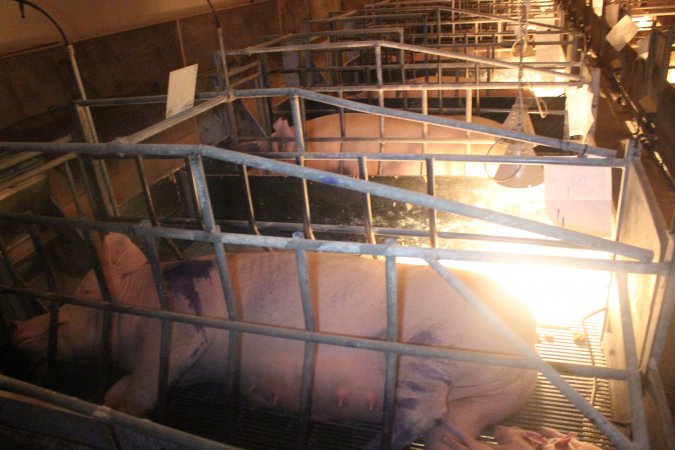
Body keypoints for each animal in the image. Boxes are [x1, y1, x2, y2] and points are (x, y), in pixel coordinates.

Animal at [11, 234, 540, 448]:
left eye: (82, 293)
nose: (15, 328)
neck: (143, 301)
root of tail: (528, 336)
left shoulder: (182, 328)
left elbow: (139, 386)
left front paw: (120, 409)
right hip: (482, 400)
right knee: (450, 433)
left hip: (431, 353)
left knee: (421, 411)